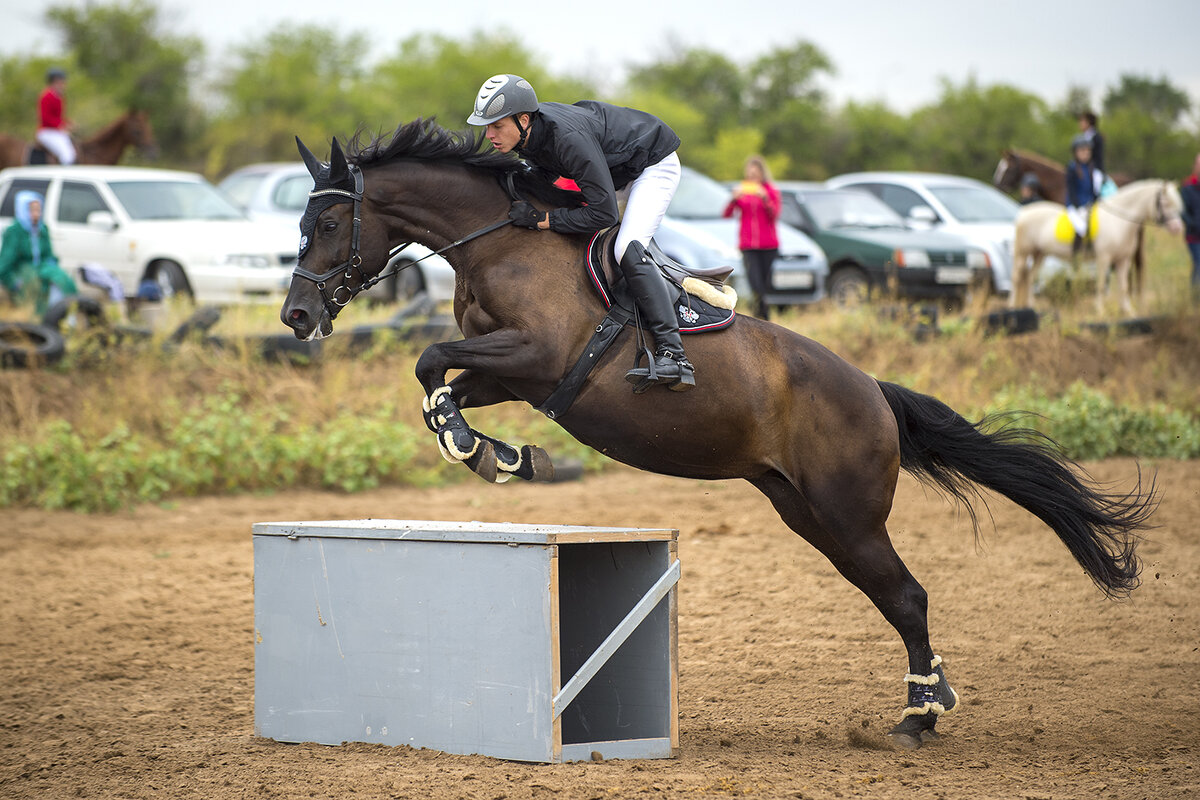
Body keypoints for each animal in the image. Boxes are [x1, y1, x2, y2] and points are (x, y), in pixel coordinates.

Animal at [278, 118, 1152, 753]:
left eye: (329, 220)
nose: (295, 316)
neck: (503, 237)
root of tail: (874, 391)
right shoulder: (514, 373)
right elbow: (440, 380)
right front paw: (500, 454)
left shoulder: (535, 355)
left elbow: (430, 359)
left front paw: (485, 452)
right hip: (808, 514)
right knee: (892, 595)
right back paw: (922, 706)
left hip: (847, 514)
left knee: (907, 595)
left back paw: (920, 717)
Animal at [1008, 179, 1185, 314]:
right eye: (1165, 203)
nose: (1177, 228)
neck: (1119, 221)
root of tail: (1023, 211)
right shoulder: (1104, 258)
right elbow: (1100, 285)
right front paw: (1100, 311)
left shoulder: (1123, 260)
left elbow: (1123, 286)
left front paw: (1128, 311)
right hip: (1023, 253)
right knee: (1016, 277)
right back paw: (1011, 306)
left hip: (1040, 254)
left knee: (1030, 277)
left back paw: (1031, 307)